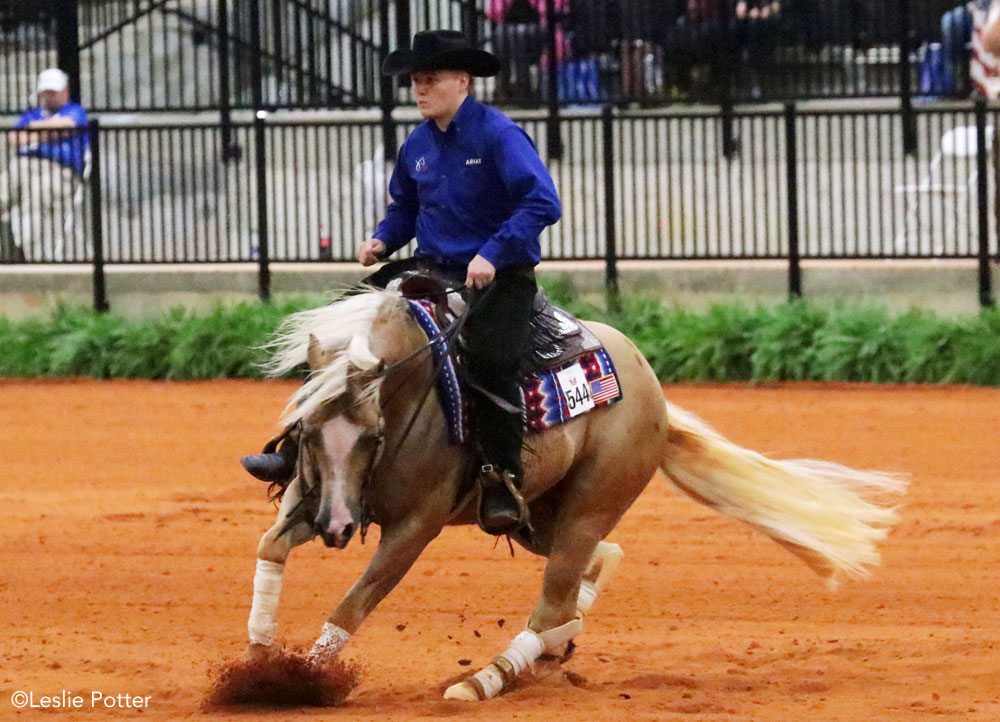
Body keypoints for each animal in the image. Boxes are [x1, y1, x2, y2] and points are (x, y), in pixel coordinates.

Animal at [244, 286, 908, 696]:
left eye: (373, 434)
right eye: (306, 429)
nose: (336, 527)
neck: (419, 394)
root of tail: (649, 385)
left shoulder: (414, 529)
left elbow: (354, 604)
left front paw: (298, 683)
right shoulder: (312, 498)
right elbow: (270, 548)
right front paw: (256, 659)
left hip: (589, 507)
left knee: (552, 598)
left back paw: (484, 679)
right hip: (537, 517)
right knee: (589, 572)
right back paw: (550, 650)